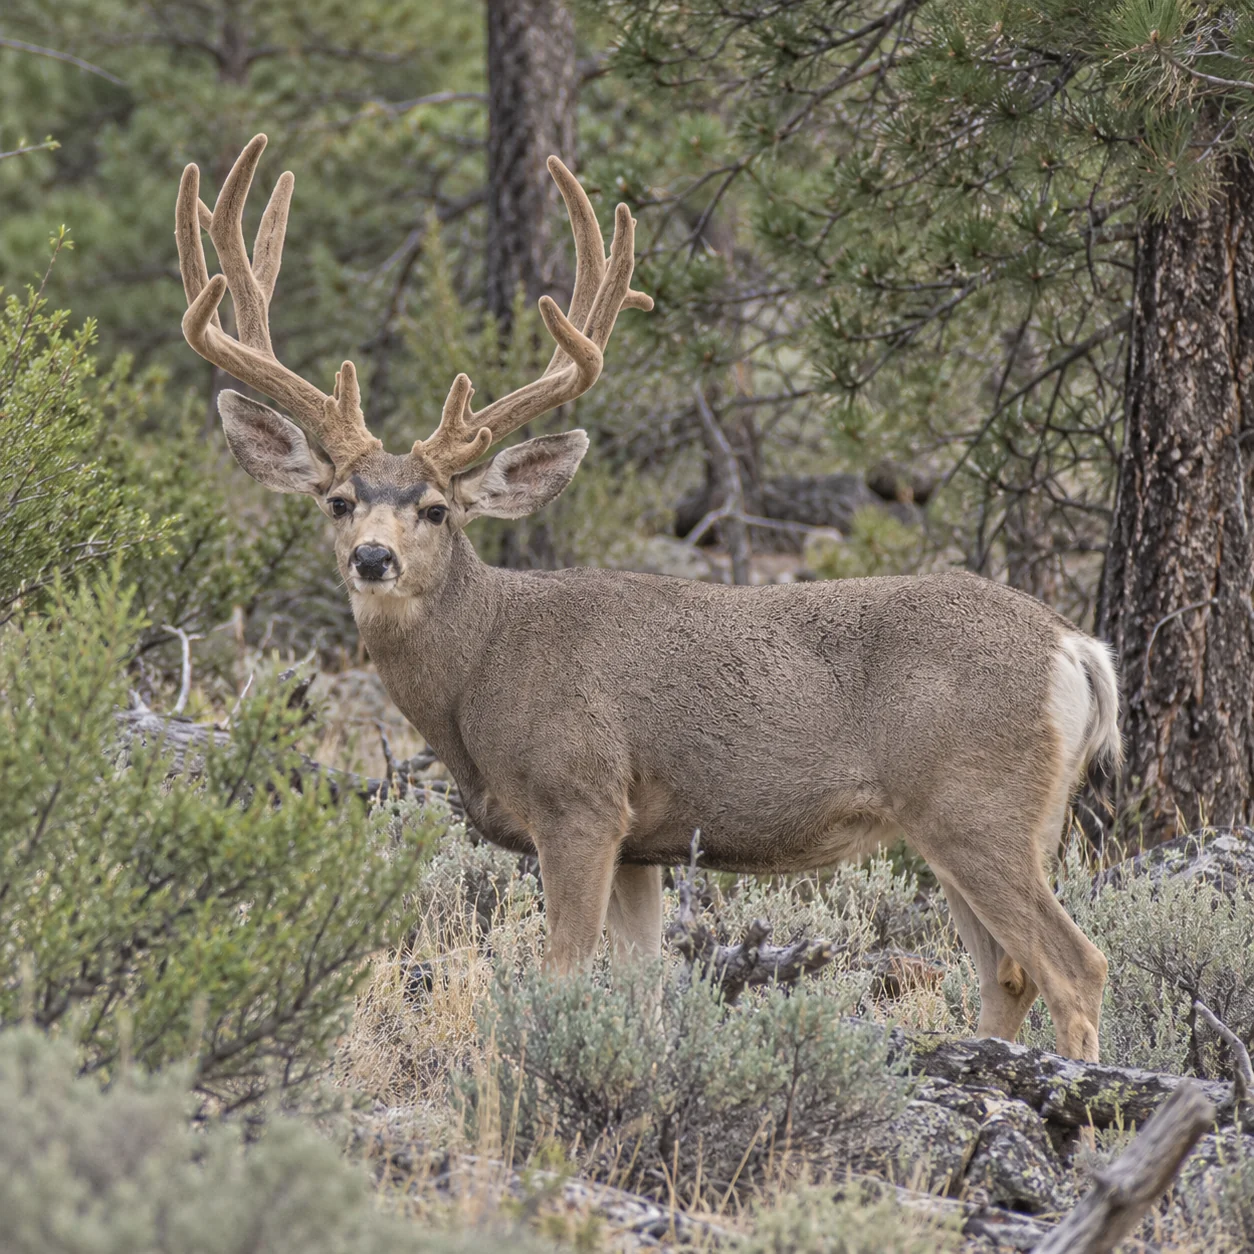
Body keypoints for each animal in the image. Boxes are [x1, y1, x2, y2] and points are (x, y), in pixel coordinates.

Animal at [174, 135, 1120, 1063]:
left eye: (437, 509)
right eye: (337, 502)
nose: (373, 557)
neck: (482, 671)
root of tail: (1075, 648)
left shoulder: (581, 797)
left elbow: (561, 972)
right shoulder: (643, 842)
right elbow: (641, 986)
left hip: (976, 803)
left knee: (1076, 965)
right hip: (974, 823)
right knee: (1009, 972)